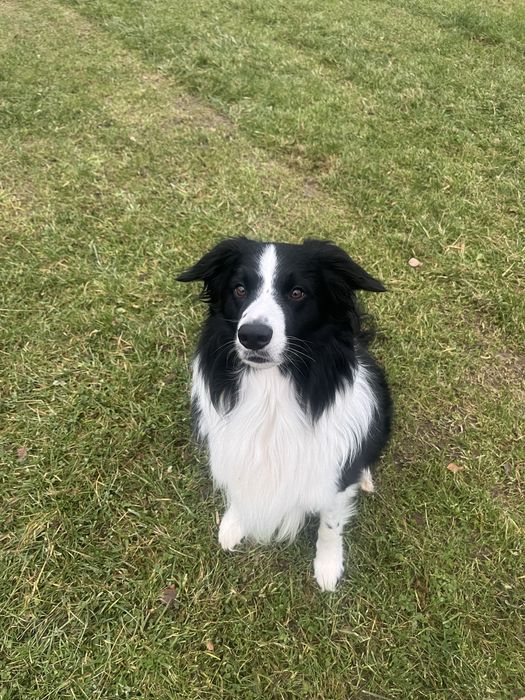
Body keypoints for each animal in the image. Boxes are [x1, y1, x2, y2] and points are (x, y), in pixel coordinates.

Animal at [178, 237, 392, 590]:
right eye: (239, 289)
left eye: (297, 293)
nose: (252, 335)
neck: (271, 389)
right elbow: (239, 485)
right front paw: (234, 523)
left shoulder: (332, 474)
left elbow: (330, 523)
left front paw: (328, 565)